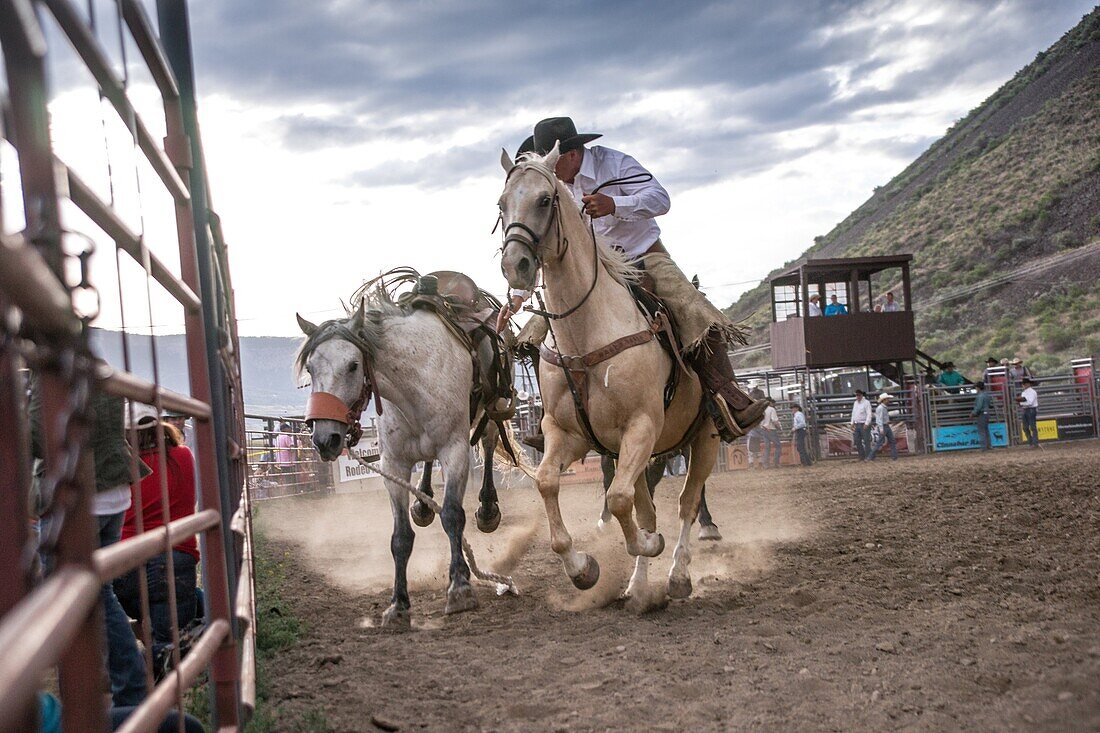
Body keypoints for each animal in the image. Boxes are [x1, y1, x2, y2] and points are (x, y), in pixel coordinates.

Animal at [294, 277, 512, 620]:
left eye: (354, 365)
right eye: (311, 369)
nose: (325, 438)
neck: (412, 383)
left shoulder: (455, 452)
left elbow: (453, 516)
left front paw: (460, 587)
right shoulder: (393, 464)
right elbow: (400, 537)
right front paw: (398, 604)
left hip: (495, 407)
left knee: (489, 442)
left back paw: (488, 509)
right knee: (426, 465)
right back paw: (422, 504)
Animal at [499, 145, 721, 603]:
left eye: (544, 200)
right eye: (501, 204)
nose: (515, 265)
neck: (587, 335)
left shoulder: (642, 426)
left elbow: (621, 499)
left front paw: (648, 544)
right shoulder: (568, 434)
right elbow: (548, 484)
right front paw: (582, 568)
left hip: (704, 436)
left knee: (688, 502)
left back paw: (678, 574)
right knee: (648, 502)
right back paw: (637, 587)